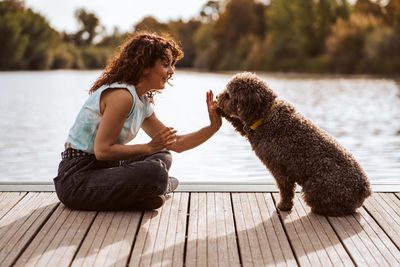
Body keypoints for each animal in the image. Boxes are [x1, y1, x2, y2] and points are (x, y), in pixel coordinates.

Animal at [216, 72, 372, 217]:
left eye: (228, 95)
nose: (217, 96)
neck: (266, 116)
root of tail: (365, 189)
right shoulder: (248, 129)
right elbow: (237, 122)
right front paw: (219, 110)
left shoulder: (279, 168)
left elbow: (285, 189)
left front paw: (283, 205)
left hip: (315, 187)